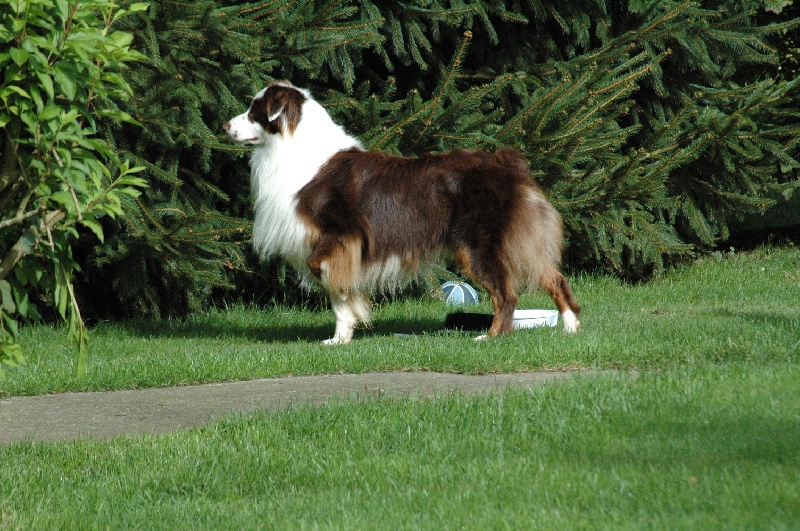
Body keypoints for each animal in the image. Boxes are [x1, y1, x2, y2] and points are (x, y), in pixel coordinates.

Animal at [225, 80, 580, 342]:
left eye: (254, 112)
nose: (226, 126)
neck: (291, 146)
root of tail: (509, 164)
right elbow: (339, 292)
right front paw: (343, 335)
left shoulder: (340, 235)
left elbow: (328, 277)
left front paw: (345, 329)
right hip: (514, 242)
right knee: (553, 276)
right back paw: (570, 327)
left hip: (477, 246)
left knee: (507, 293)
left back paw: (491, 336)